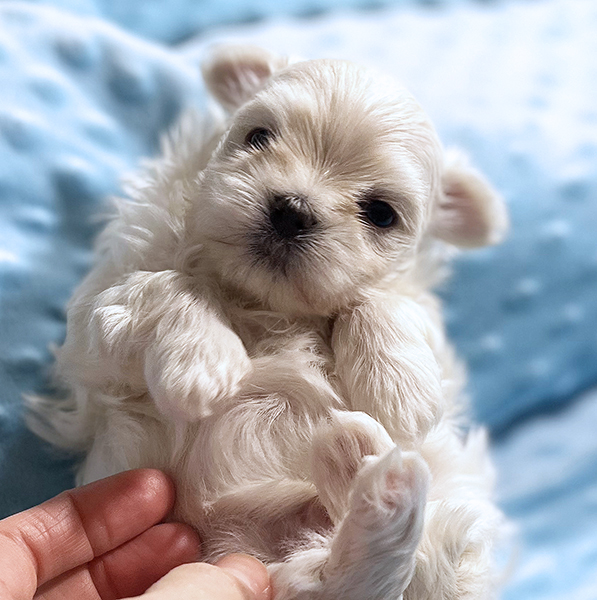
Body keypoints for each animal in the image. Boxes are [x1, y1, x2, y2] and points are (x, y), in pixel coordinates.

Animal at [29, 45, 508, 600]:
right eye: (258, 136)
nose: (293, 209)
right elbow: (171, 283)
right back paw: (365, 465)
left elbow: (377, 299)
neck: (265, 302)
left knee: (379, 574)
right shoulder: (96, 325)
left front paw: (400, 391)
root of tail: (236, 546)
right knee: (339, 581)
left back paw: (372, 468)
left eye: (382, 214)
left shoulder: (413, 307)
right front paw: (203, 365)